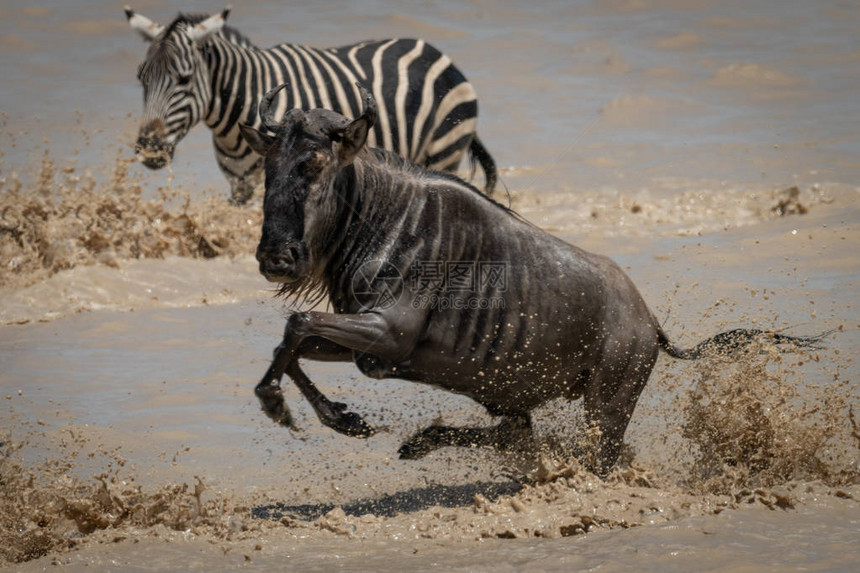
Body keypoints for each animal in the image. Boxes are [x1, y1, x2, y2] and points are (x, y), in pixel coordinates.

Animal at [123, 6, 494, 203]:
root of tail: (434, 51)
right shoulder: (239, 185)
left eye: (183, 80)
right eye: (141, 78)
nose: (149, 149)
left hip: (444, 149)